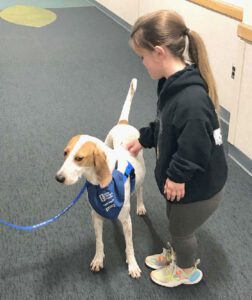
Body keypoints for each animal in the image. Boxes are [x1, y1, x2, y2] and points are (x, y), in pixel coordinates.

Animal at [55, 78, 146, 278]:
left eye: (79, 158)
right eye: (65, 153)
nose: (58, 178)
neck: (101, 185)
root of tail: (123, 122)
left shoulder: (126, 221)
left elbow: (130, 246)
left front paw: (133, 265)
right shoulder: (95, 216)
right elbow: (99, 242)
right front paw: (98, 259)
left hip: (142, 175)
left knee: (140, 190)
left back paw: (141, 206)